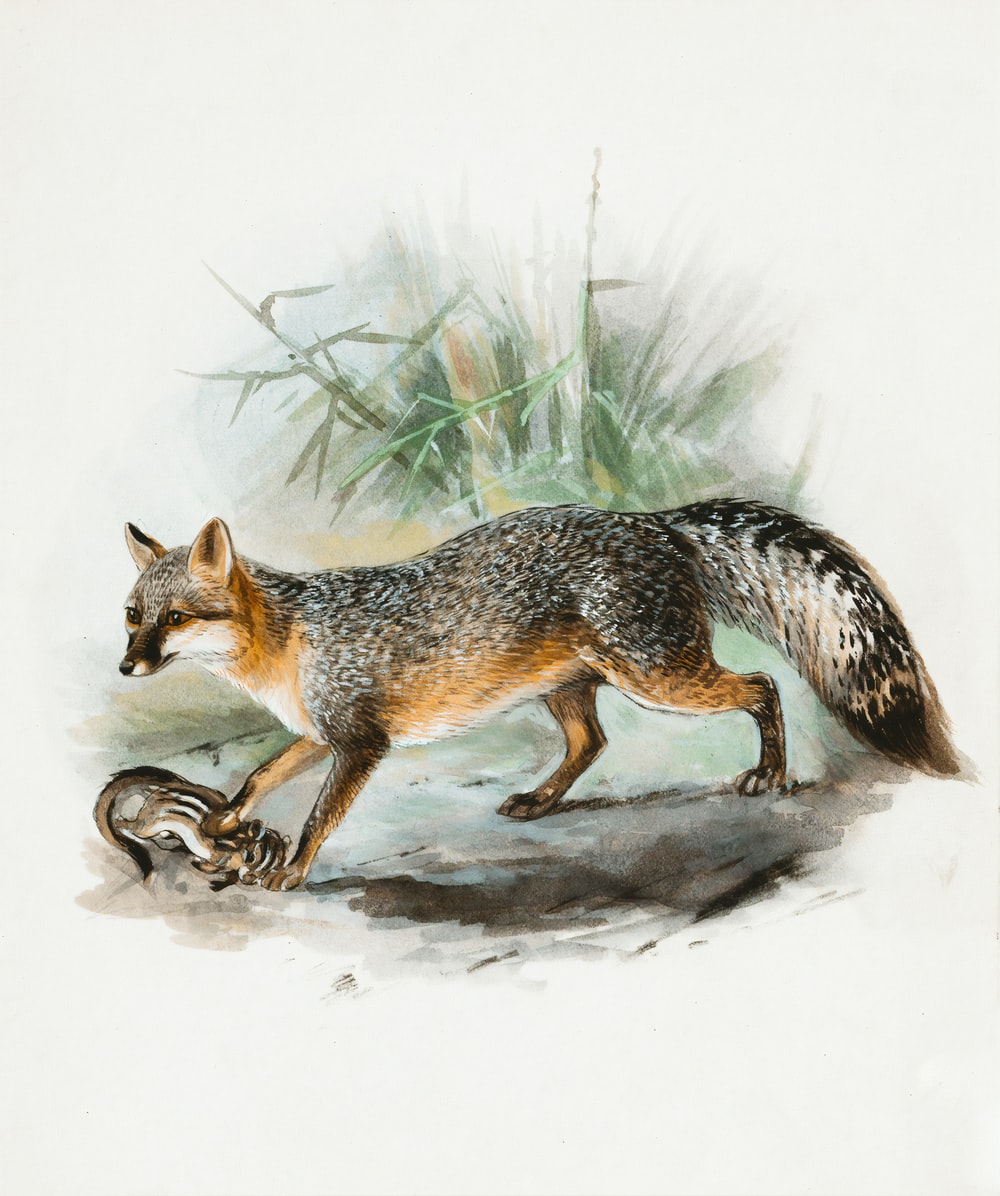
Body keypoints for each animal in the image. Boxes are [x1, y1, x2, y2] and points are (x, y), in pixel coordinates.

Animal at [119, 501, 958, 890]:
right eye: (133, 617)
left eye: (176, 620)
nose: (126, 668)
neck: (289, 642)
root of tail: (651, 522)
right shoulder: (324, 733)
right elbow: (261, 774)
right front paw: (224, 817)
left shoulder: (360, 743)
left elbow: (320, 814)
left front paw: (291, 868)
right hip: (573, 690)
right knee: (594, 742)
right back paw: (541, 799)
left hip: (661, 679)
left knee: (763, 684)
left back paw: (769, 772)